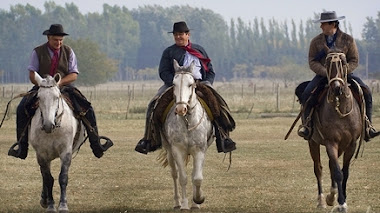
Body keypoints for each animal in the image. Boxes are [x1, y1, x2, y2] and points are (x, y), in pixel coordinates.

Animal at [29, 72, 84, 212]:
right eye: (39, 97)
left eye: (57, 96)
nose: (48, 125)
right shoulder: (42, 154)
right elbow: (48, 179)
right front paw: (50, 205)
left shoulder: (66, 152)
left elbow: (62, 177)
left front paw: (63, 205)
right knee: (44, 175)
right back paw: (44, 200)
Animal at [158, 59, 214, 211]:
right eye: (174, 84)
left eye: (190, 84)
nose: (181, 109)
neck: (187, 121)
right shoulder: (177, 150)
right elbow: (183, 178)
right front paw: (184, 204)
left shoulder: (199, 150)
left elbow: (197, 177)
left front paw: (198, 200)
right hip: (169, 151)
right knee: (174, 174)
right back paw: (177, 202)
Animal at [308, 50, 366, 212]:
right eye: (327, 64)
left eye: (343, 63)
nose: (337, 88)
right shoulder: (331, 143)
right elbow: (338, 172)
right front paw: (340, 203)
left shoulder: (351, 144)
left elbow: (344, 172)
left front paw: (341, 199)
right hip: (313, 142)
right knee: (319, 168)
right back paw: (322, 200)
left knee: (330, 165)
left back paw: (331, 195)